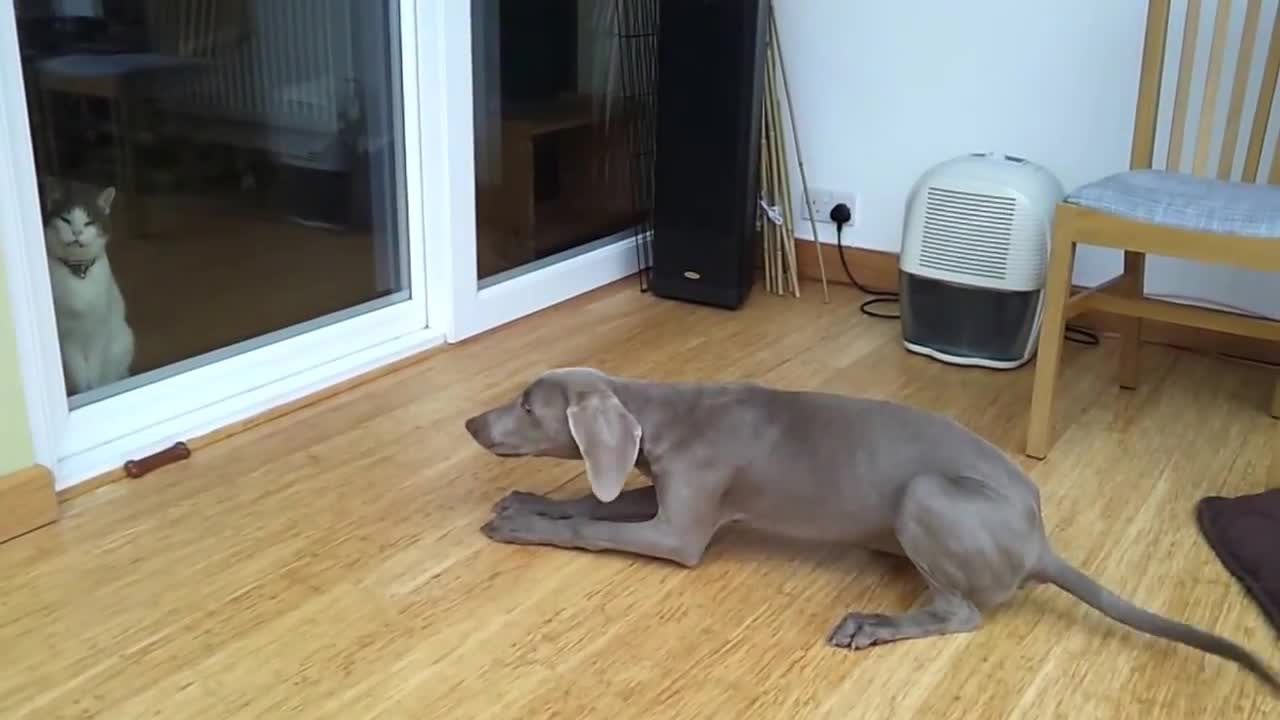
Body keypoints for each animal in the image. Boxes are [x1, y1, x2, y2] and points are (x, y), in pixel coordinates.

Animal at [40, 176, 133, 394]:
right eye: (66, 220)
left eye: (89, 222)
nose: (76, 232)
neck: (78, 271)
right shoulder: (67, 339)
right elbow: (80, 375)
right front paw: (85, 390)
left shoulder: (98, 332)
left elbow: (94, 372)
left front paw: (94, 389)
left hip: (123, 339)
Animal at [465, 366, 1274, 686]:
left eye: (529, 405)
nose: (471, 423)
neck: (667, 413)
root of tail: (1039, 541)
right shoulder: (661, 495)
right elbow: (595, 502)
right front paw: (527, 501)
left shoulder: (681, 532)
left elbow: (593, 529)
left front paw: (525, 527)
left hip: (924, 496)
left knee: (961, 614)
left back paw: (873, 624)